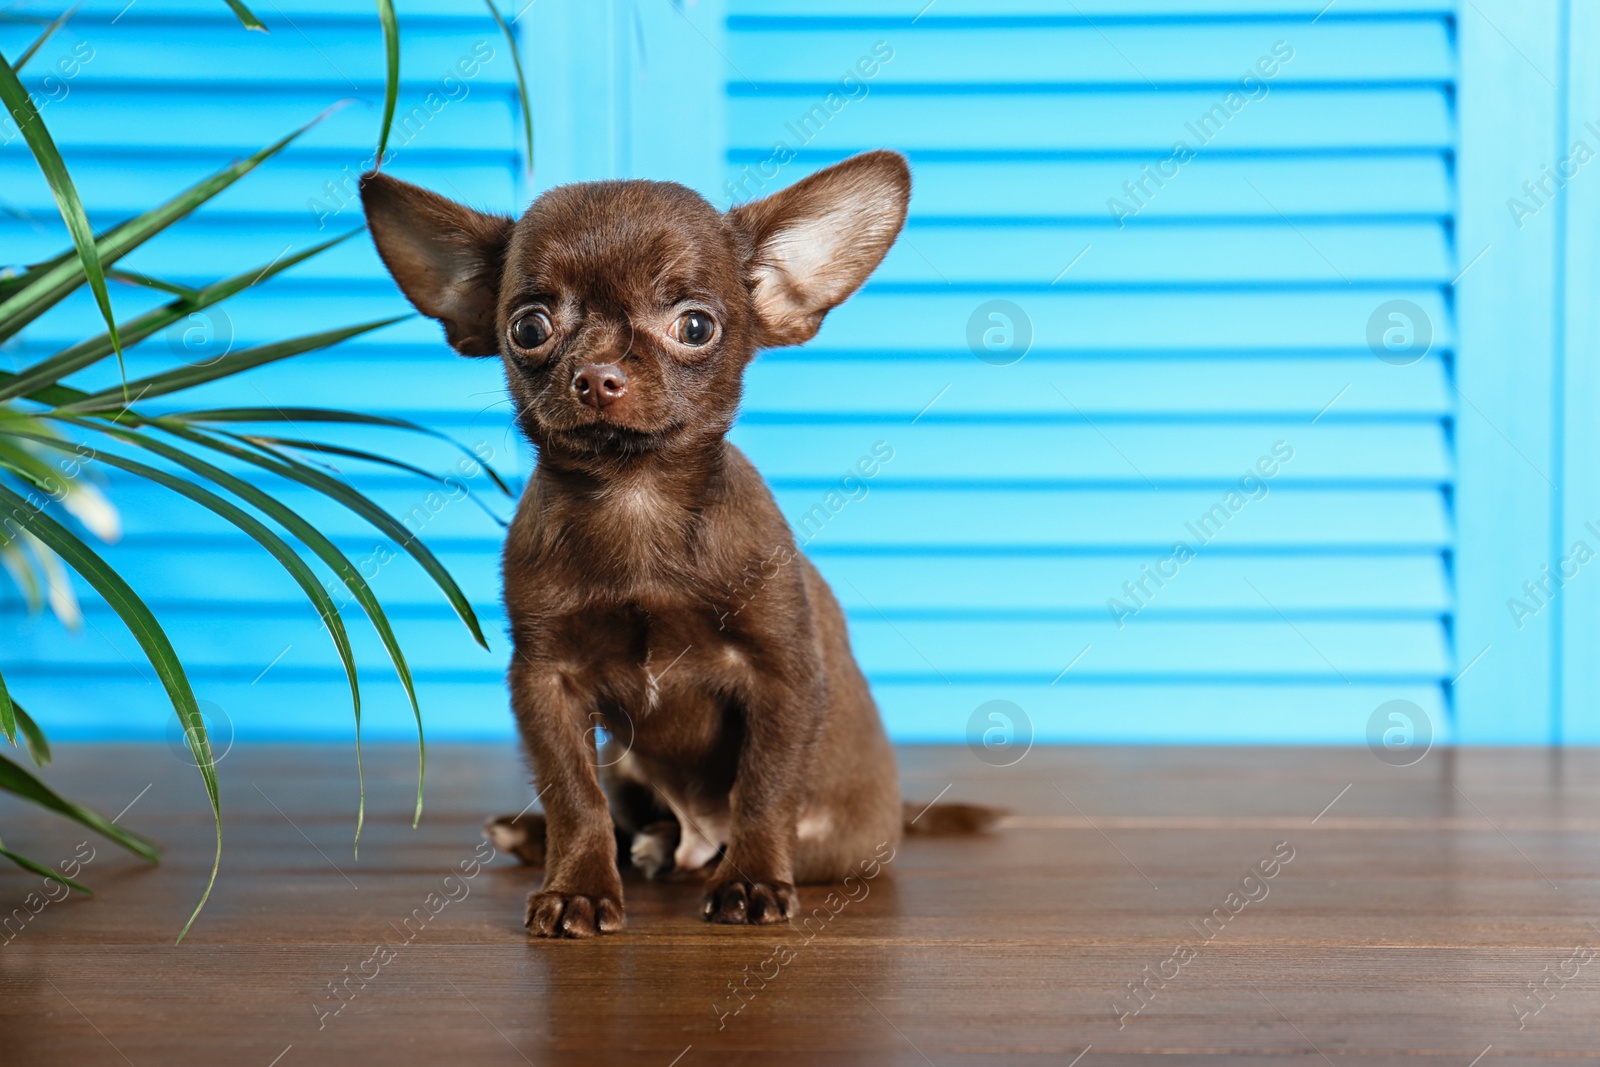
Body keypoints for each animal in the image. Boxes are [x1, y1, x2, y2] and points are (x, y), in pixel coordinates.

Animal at [361, 151, 992, 940]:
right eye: (530, 327)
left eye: (694, 325)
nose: (599, 374)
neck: (636, 500)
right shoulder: (546, 684)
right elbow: (573, 794)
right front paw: (575, 886)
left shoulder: (780, 678)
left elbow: (764, 788)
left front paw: (752, 881)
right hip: (628, 764)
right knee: (624, 815)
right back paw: (564, 838)